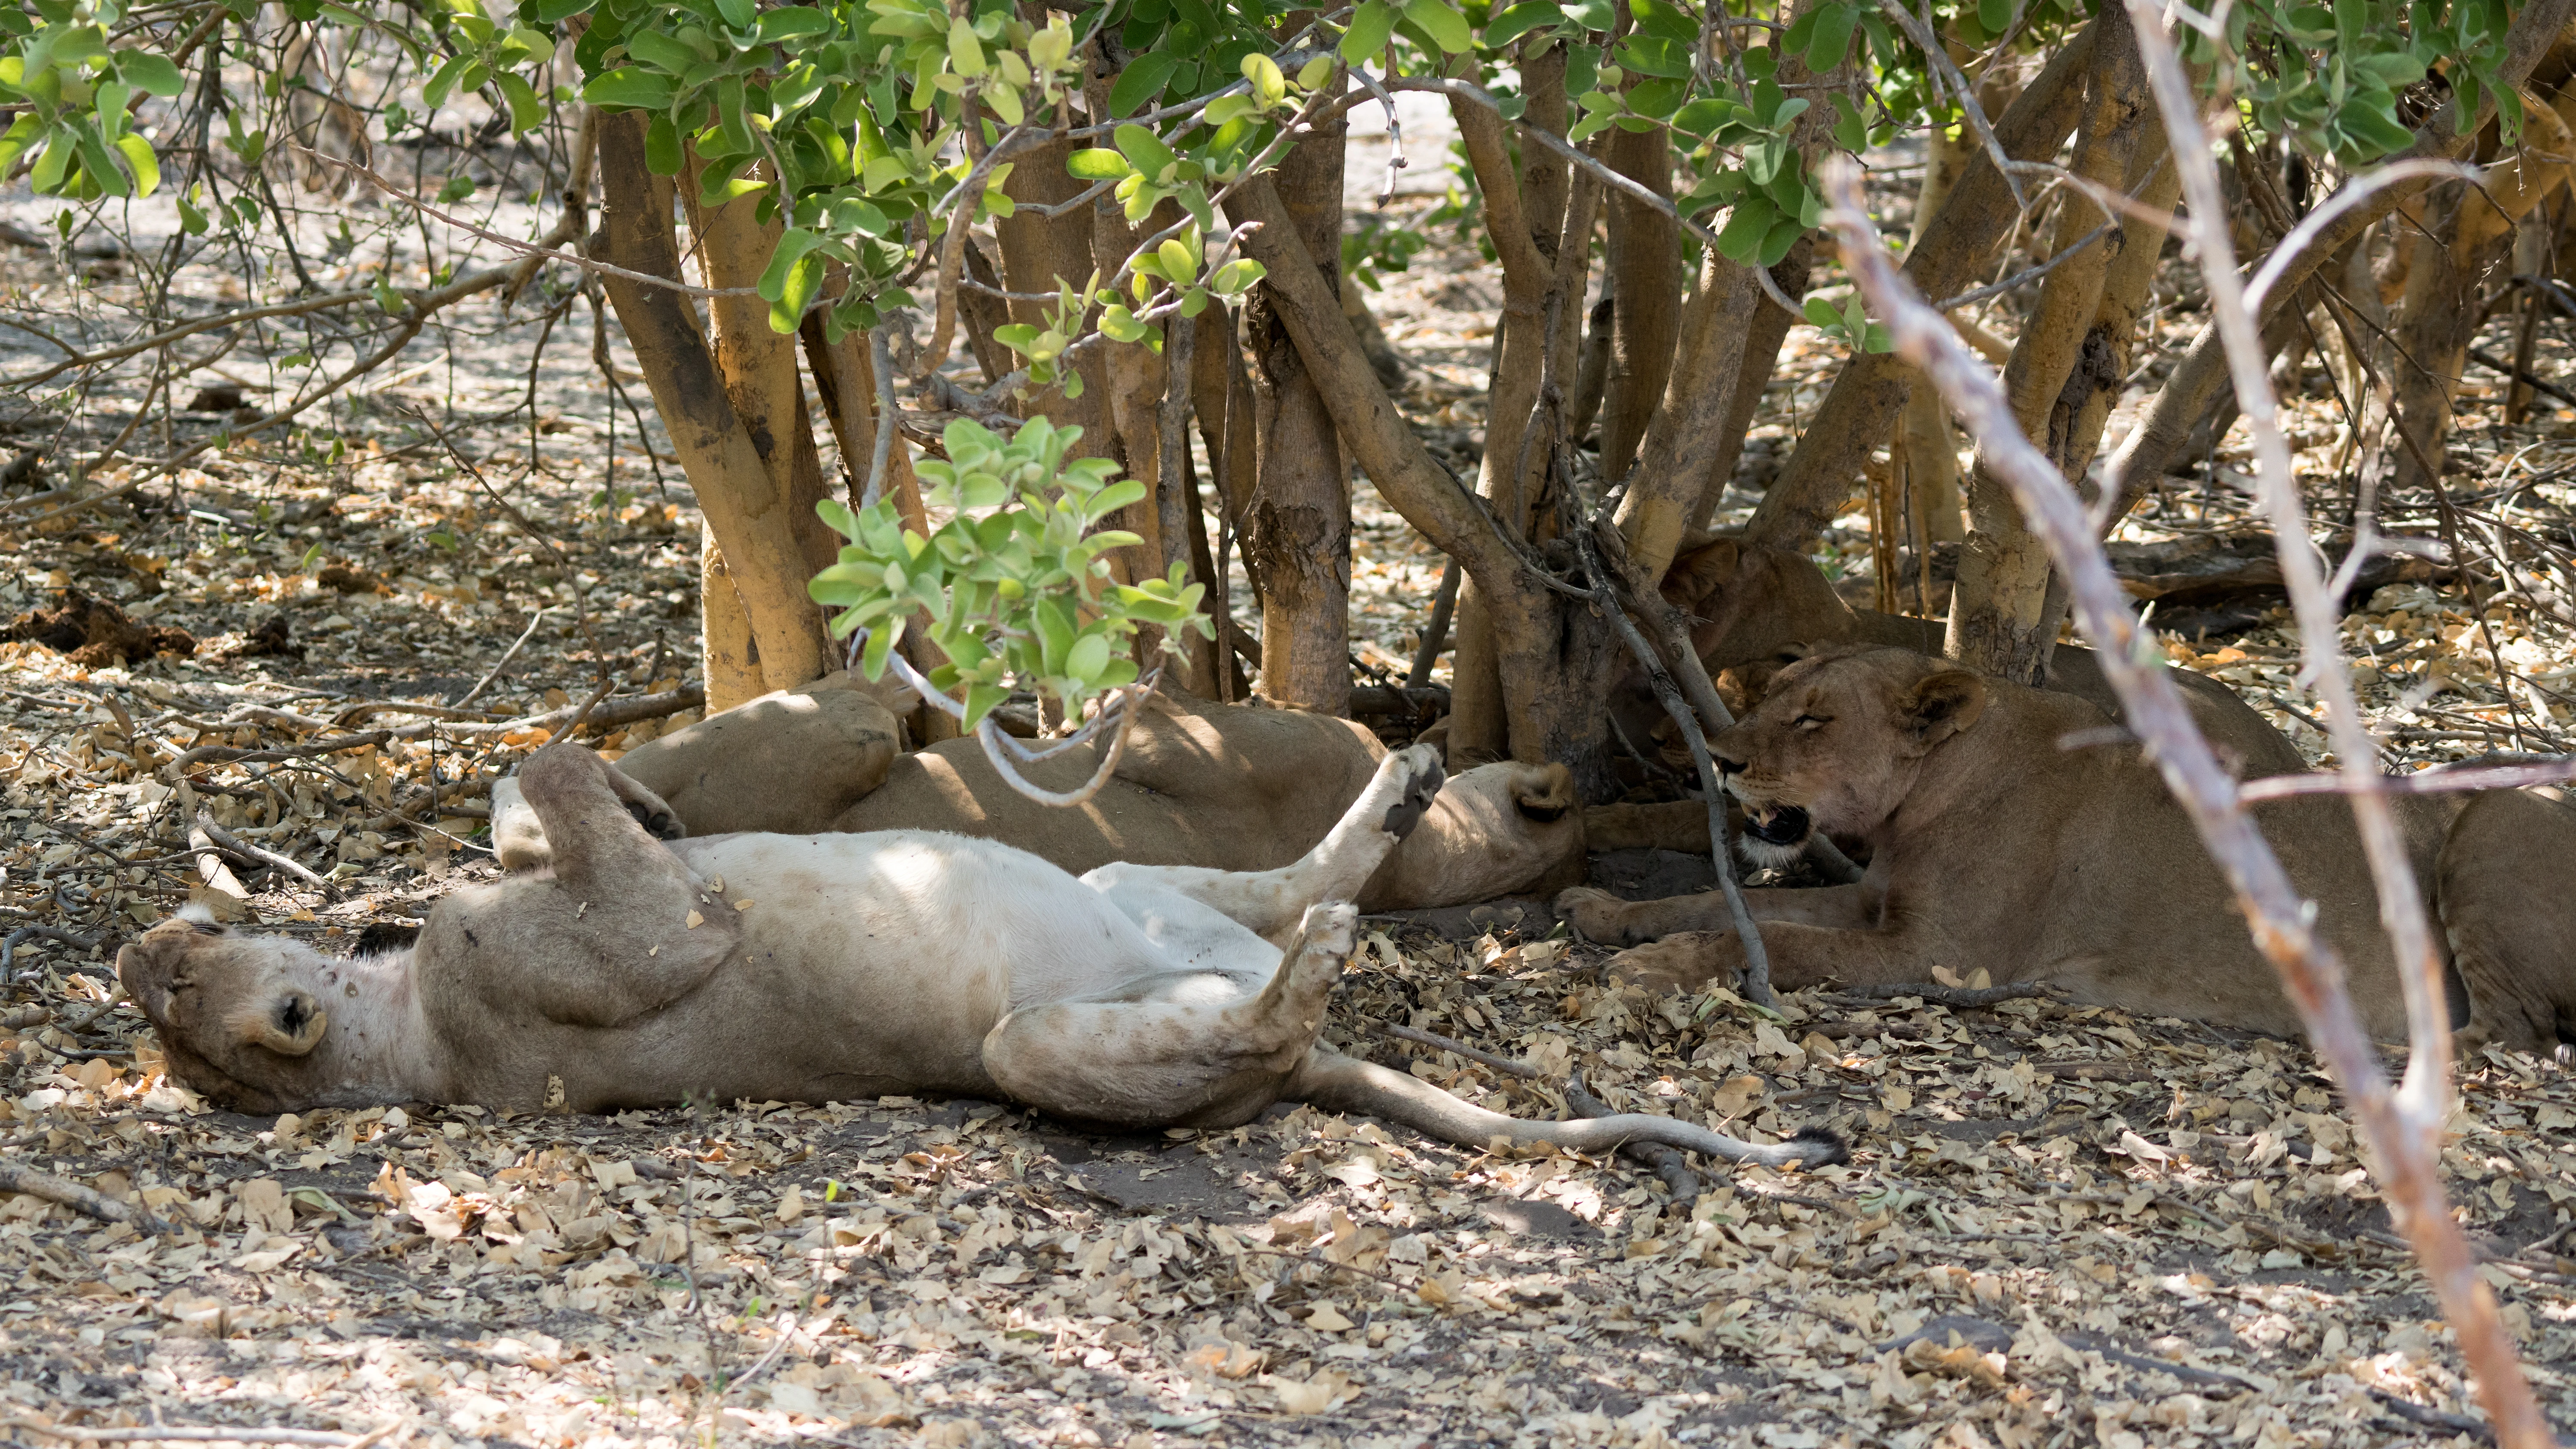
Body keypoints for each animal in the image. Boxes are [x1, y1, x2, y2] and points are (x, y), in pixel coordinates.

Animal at [1559, 645, 2576, 1051]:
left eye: (1812, 720)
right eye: (1772, 696)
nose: (1722, 760)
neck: (1930, 794)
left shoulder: (1939, 954)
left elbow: (1772, 939)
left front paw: (1652, 966)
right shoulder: (1873, 901)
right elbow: (1732, 904)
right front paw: (1608, 912)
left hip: (2495, 817)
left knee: (2517, 1030)